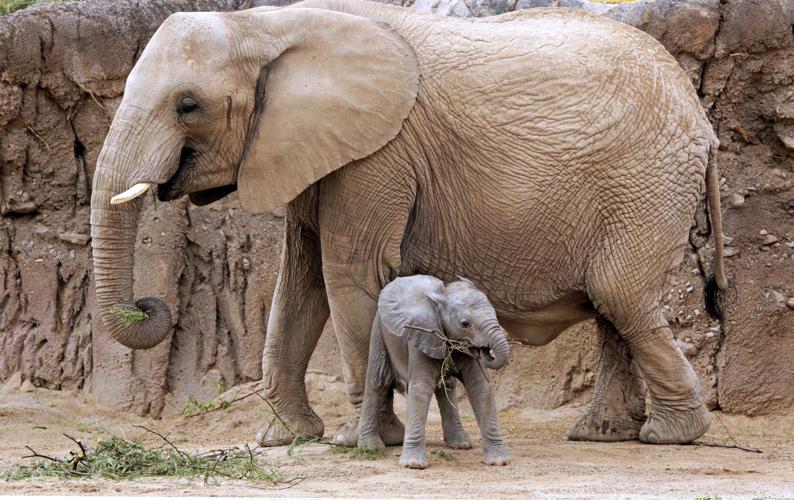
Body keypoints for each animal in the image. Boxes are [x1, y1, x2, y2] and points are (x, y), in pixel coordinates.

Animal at [90, 0, 729, 448]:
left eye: (187, 105)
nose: (149, 304)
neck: (265, 23)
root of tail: (700, 116)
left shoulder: (379, 152)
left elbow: (347, 273)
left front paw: (356, 441)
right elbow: (300, 283)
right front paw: (285, 438)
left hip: (645, 183)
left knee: (620, 296)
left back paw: (670, 436)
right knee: (611, 306)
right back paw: (605, 433)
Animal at [357, 275, 510, 469]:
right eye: (465, 324)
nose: (485, 349)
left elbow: (481, 388)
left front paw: (499, 461)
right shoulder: (421, 336)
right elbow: (421, 388)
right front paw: (413, 465)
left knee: (447, 385)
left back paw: (460, 444)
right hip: (379, 330)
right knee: (378, 380)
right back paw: (370, 446)